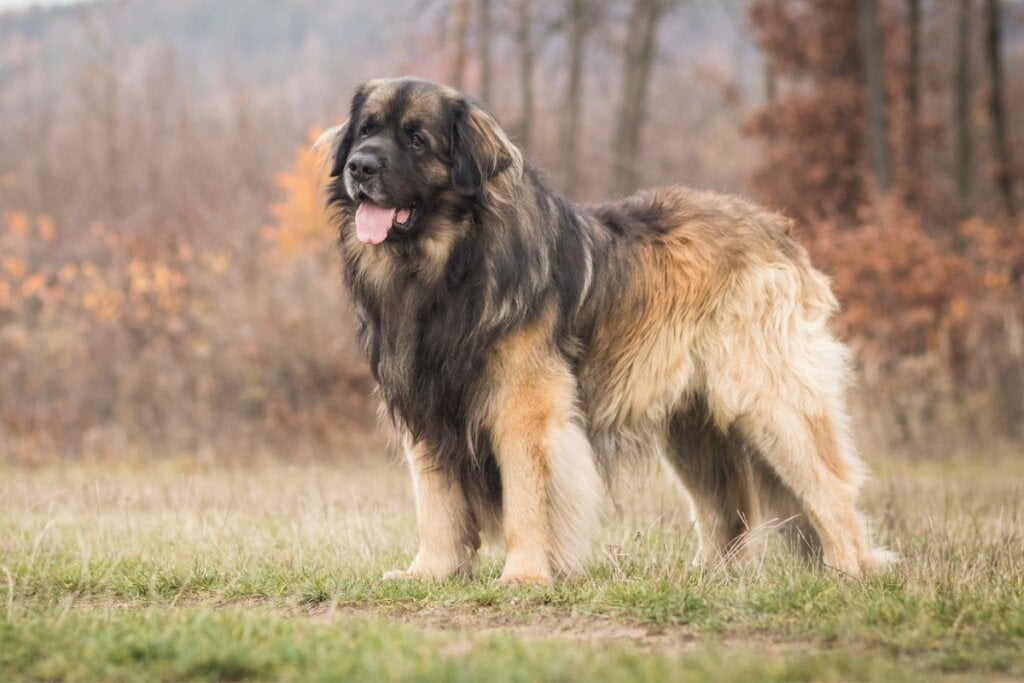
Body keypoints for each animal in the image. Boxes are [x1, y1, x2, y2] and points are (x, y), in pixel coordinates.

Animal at [317, 77, 888, 585]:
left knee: (828, 485)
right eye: (366, 130)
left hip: (770, 399)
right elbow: (437, 504)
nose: (360, 165)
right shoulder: (427, 408)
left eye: (416, 138)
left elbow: (527, 498)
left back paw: (849, 569)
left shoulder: (525, 410)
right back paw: (710, 577)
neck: (447, 266)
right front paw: (430, 572)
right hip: (693, 427)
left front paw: (525, 576)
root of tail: (776, 228)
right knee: (729, 507)